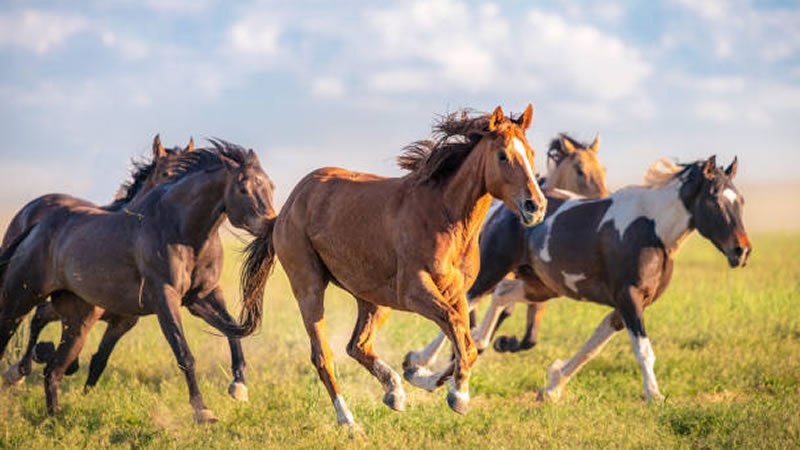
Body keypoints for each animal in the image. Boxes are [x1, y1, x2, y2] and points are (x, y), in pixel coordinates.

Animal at [0, 142, 274, 424]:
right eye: (243, 188)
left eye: (271, 186)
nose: (271, 223)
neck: (178, 229)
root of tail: (36, 225)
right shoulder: (165, 298)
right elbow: (183, 352)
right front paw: (202, 410)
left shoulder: (200, 296)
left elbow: (232, 330)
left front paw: (238, 387)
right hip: (19, 299)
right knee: (20, 332)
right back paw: (20, 375)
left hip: (77, 320)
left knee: (53, 369)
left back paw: (54, 419)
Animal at [241, 106, 548, 428]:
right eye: (503, 155)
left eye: (530, 152)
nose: (536, 206)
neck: (444, 217)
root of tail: (287, 208)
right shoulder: (414, 292)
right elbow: (456, 329)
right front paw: (458, 395)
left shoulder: (457, 293)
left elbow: (467, 342)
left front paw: (422, 376)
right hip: (309, 288)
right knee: (323, 356)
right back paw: (349, 421)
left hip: (374, 299)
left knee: (358, 345)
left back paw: (394, 392)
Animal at [406, 133, 608, 370]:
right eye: (580, 170)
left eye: (602, 169)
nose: (605, 197)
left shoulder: (536, 288)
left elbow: (529, 336)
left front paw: (503, 342)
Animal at [468, 156, 752, 400]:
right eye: (715, 200)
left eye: (740, 200)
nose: (742, 251)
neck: (653, 231)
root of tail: (502, 208)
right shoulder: (629, 298)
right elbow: (643, 351)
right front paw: (655, 396)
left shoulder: (626, 305)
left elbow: (592, 348)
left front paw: (552, 387)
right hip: (493, 270)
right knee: (470, 300)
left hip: (541, 286)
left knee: (501, 295)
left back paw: (480, 343)